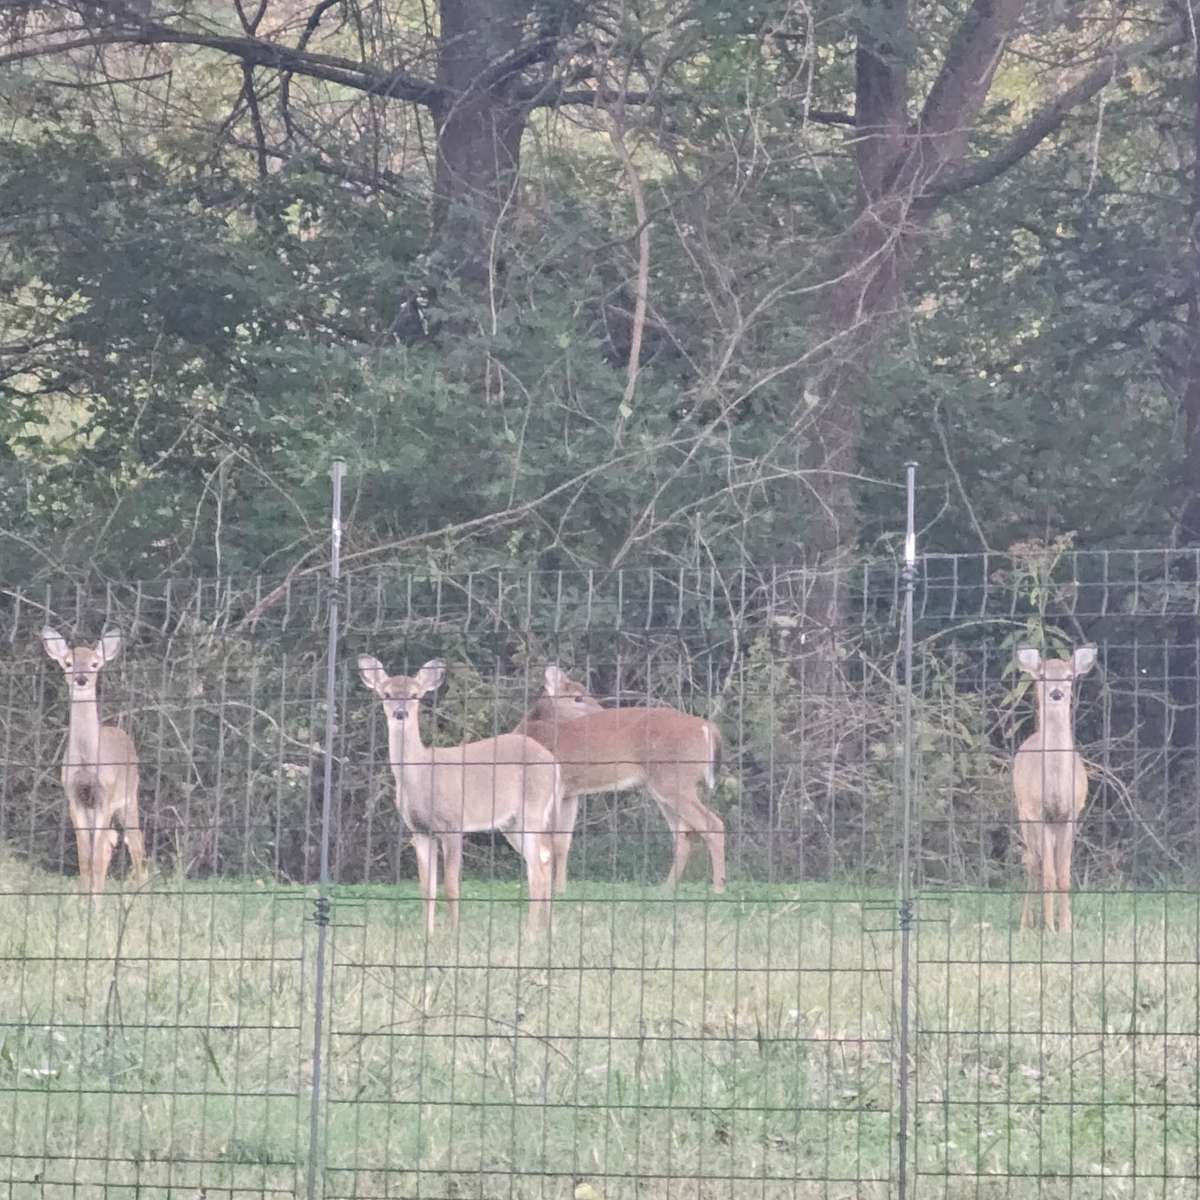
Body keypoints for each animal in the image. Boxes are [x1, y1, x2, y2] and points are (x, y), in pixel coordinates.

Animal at [41, 627, 147, 897]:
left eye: (94, 664)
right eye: (68, 663)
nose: (81, 679)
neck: (87, 762)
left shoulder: (105, 798)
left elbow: (96, 856)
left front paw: (96, 903)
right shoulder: (74, 798)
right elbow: (85, 857)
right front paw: (82, 900)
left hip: (129, 796)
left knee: (136, 841)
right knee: (112, 841)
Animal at [358, 656, 561, 935]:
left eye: (415, 695)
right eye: (386, 694)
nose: (400, 713)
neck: (423, 775)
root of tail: (555, 763)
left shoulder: (452, 823)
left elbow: (452, 887)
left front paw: (453, 934)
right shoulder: (419, 830)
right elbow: (427, 888)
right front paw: (428, 934)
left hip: (533, 808)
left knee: (539, 871)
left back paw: (530, 935)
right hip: (512, 823)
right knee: (543, 858)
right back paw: (547, 930)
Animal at [514, 665, 726, 896]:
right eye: (578, 697)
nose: (601, 711)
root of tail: (708, 728)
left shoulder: (554, 787)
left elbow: (549, 841)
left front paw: (554, 889)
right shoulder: (569, 792)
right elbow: (562, 842)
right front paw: (561, 889)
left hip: (674, 780)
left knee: (713, 824)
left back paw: (718, 887)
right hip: (664, 786)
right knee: (683, 834)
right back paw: (667, 888)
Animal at [1012, 644, 1097, 933]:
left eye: (1070, 676)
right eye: (1043, 675)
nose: (1057, 693)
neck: (1056, 788)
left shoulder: (1070, 814)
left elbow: (1064, 874)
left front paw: (1066, 927)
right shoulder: (1040, 813)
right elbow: (1049, 874)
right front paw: (1050, 928)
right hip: (1023, 815)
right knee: (1032, 863)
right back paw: (1026, 924)